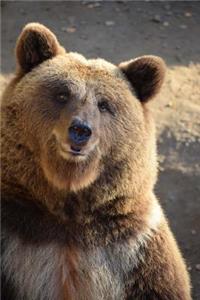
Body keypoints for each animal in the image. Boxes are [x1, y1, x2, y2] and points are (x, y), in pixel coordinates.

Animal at [1, 23, 191, 300]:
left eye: (104, 105)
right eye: (62, 94)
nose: (81, 130)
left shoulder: (136, 247)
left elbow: (160, 285)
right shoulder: (13, 232)